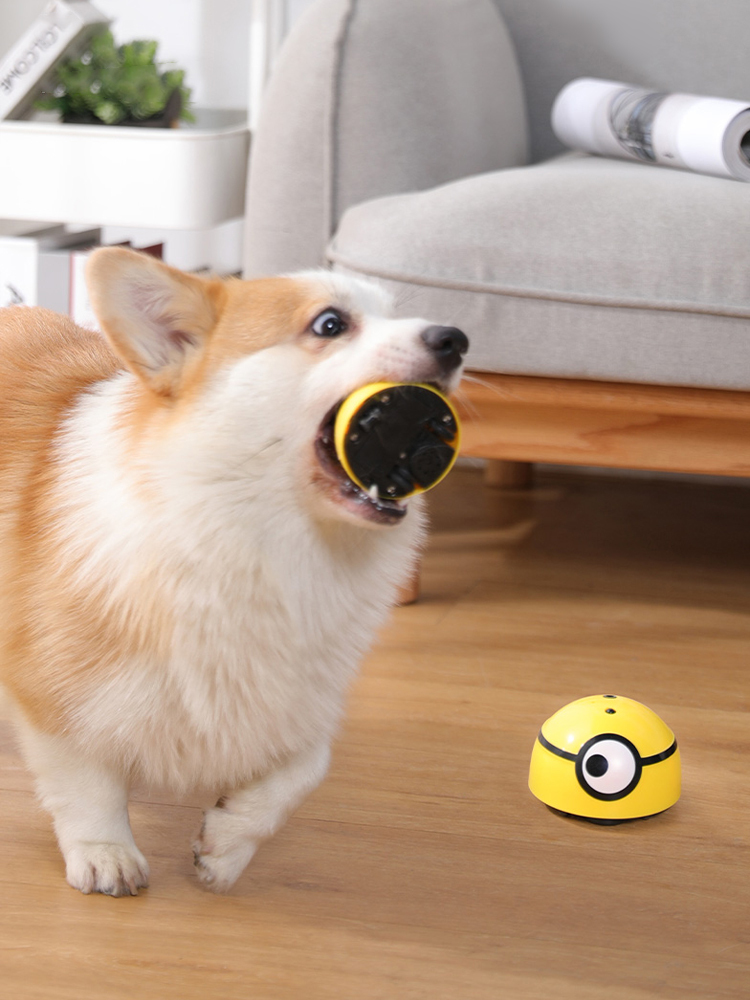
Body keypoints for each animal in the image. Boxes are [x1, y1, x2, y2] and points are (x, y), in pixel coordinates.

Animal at [0, 247, 468, 895]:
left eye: (397, 312)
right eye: (329, 324)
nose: (455, 340)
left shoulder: (300, 695)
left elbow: (306, 766)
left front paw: (227, 844)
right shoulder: (51, 689)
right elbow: (86, 782)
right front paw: (106, 853)